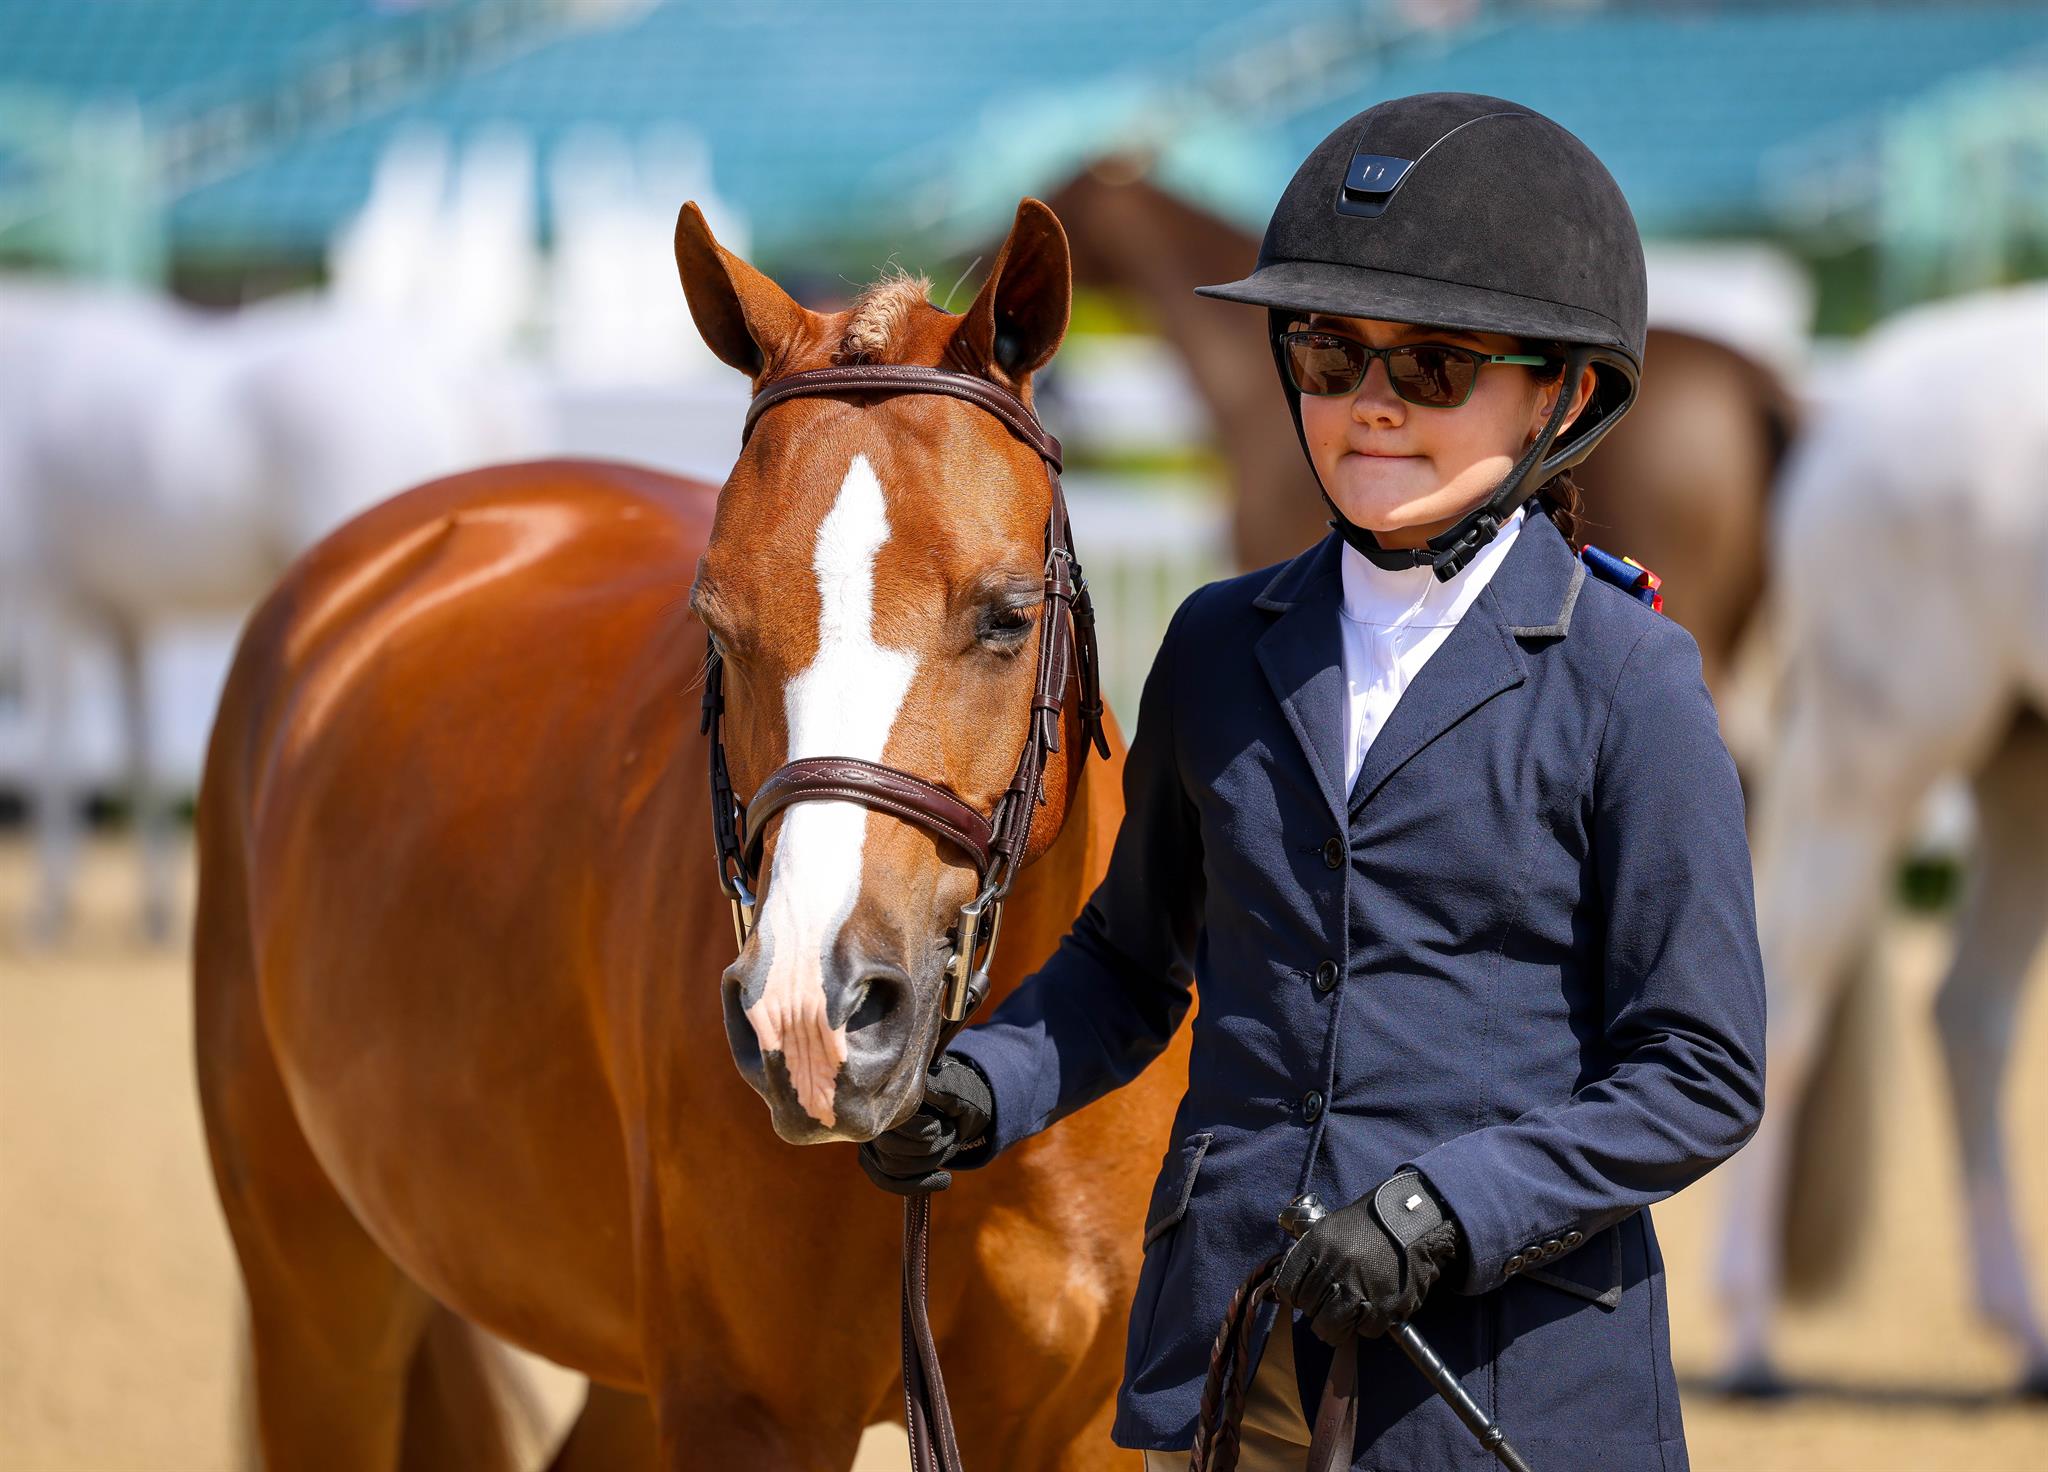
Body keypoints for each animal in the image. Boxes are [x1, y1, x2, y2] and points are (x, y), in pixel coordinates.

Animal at [0, 280, 542, 943]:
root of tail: (451, 372)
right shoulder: (126, 616)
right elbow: (139, 755)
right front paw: (153, 908)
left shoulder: (46, 600)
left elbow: (57, 759)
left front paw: (48, 908)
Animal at [194, 197, 1184, 1468]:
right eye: (716, 624)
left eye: (1008, 615)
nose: (811, 1013)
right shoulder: (744, 1411)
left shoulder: (1076, 1427)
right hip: (318, 1306)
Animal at [1712, 281, 2048, 1394]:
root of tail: (1846, 412)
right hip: (1883, 752)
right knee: (1790, 1004)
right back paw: (1749, 1333)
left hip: (2017, 771)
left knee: (1969, 1015)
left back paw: (2024, 1331)